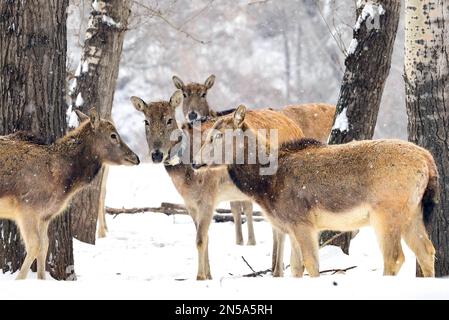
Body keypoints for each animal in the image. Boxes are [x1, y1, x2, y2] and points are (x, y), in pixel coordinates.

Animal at [0, 110, 139, 280]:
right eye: (113, 135)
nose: (136, 158)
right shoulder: (26, 208)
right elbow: (35, 245)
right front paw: (19, 280)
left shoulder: (45, 215)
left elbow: (45, 245)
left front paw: (41, 279)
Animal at [131, 91, 302, 278]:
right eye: (146, 121)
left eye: (169, 119)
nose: (156, 154)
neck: (186, 178)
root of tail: (297, 128)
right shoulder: (190, 204)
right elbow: (205, 238)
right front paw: (209, 275)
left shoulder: (208, 198)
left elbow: (200, 239)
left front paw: (200, 277)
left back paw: (279, 270)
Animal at [194, 105, 436, 278]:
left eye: (217, 135)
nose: (195, 162)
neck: (265, 185)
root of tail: (428, 161)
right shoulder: (290, 226)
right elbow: (295, 268)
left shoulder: (303, 222)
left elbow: (312, 265)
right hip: (413, 213)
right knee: (427, 251)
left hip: (386, 214)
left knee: (395, 257)